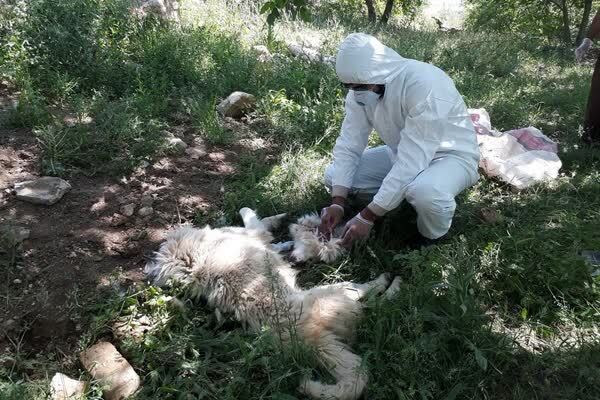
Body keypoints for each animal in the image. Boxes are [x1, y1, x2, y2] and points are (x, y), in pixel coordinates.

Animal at [143, 209, 400, 400]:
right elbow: (252, 217)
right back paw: (391, 281)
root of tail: (306, 338)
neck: (193, 259)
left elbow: (262, 229)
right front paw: (279, 223)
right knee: (372, 298)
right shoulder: (250, 233)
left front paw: (284, 240)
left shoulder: (251, 236)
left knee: (375, 306)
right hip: (340, 290)